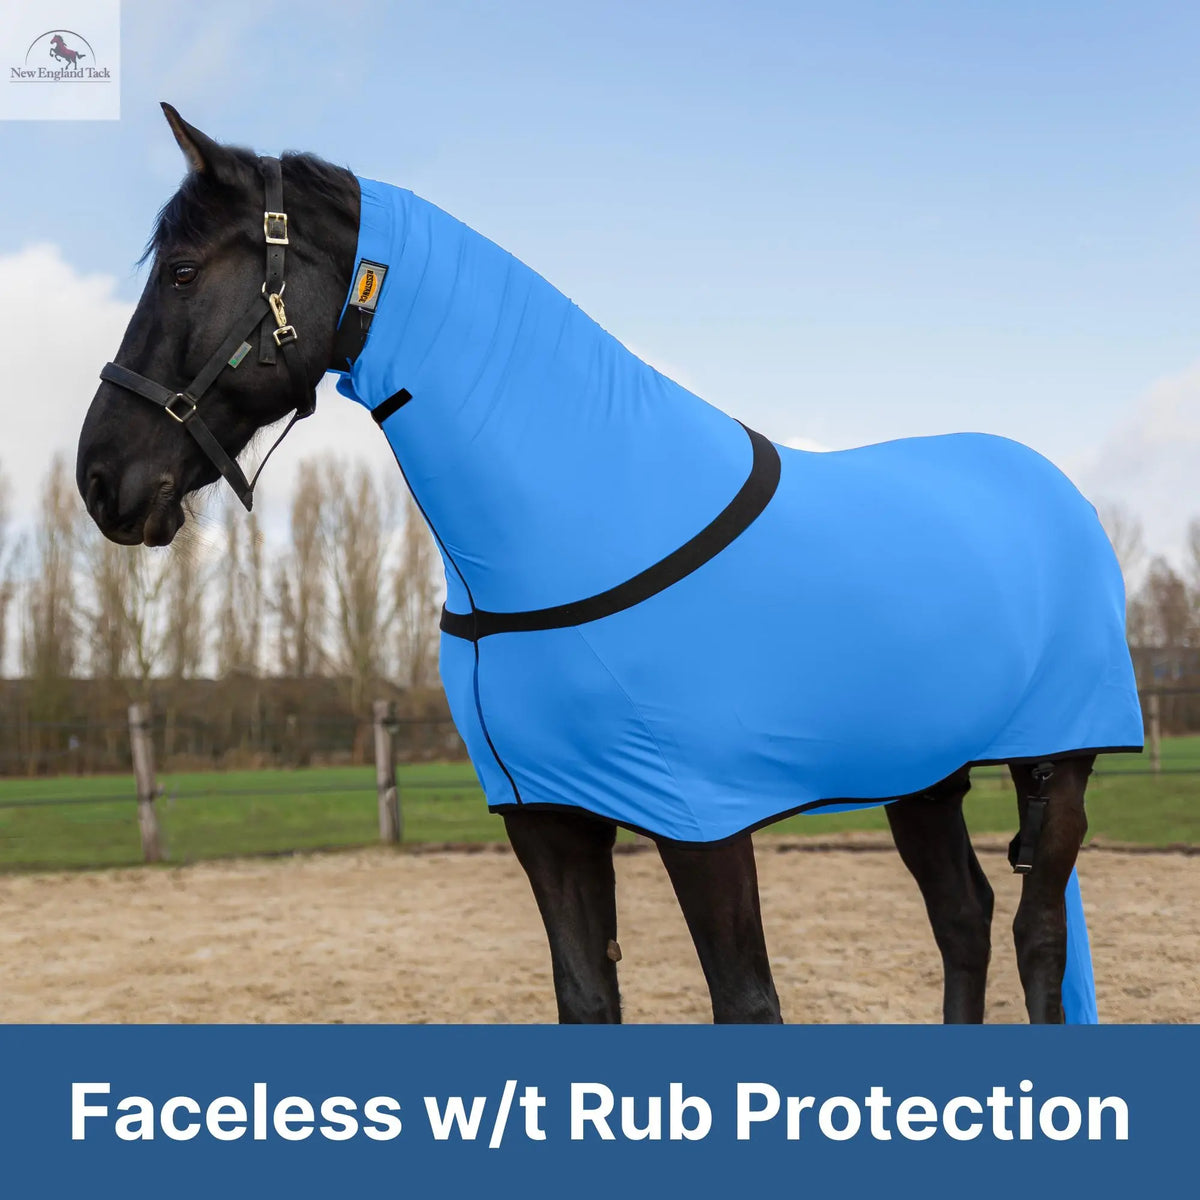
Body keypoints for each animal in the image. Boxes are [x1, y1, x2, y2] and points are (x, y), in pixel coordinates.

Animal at [76, 105, 1143, 1024]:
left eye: (181, 271)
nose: (100, 479)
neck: (580, 524)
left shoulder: (703, 823)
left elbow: (747, 1003)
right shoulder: (547, 820)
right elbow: (587, 999)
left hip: (1061, 764)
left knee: (1035, 937)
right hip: (922, 772)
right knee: (962, 919)